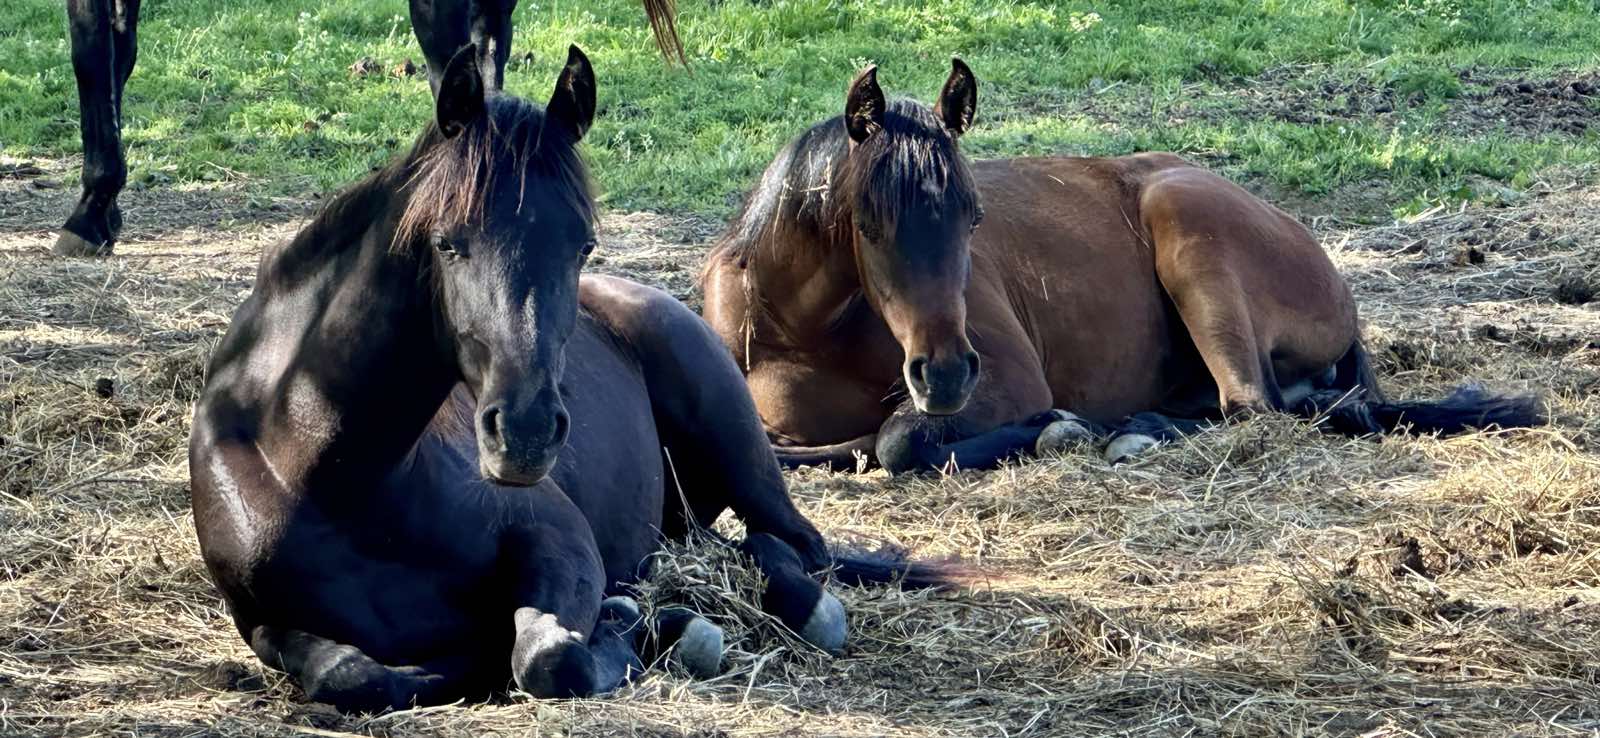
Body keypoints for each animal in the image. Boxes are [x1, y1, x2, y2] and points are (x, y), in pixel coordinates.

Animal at [188, 45, 935, 712]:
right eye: (446, 242)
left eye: (582, 244)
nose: (524, 433)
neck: (322, 466)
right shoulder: (265, 623)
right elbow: (353, 675)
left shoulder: (555, 536)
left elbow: (549, 659)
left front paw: (642, 625)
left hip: (742, 458)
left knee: (795, 546)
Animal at [700, 61, 1542, 476]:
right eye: (869, 225)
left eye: (974, 215)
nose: (945, 374)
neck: (800, 328)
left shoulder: (1007, 381)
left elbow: (896, 442)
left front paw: (1056, 428)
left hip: (1188, 226)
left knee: (1251, 408)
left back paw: (1124, 430)